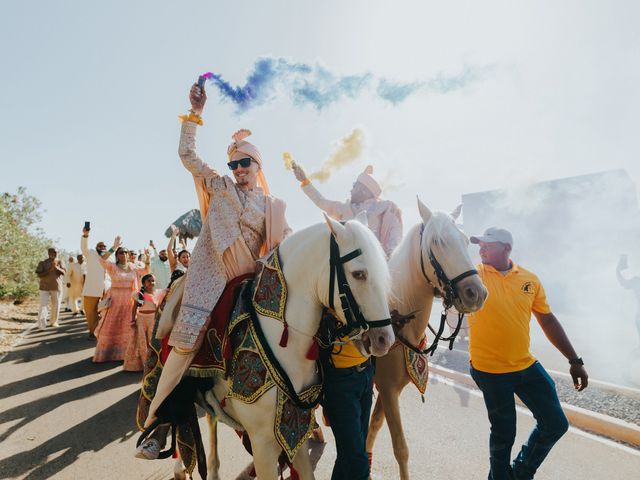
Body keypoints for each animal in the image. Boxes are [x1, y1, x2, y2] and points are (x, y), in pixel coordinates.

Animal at [364, 199, 490, 480]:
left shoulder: (390, 389)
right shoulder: (387, 388)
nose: (476, 293)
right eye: (437, 242)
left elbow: (372, 429)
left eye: (465, 240)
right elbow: (401, 448)